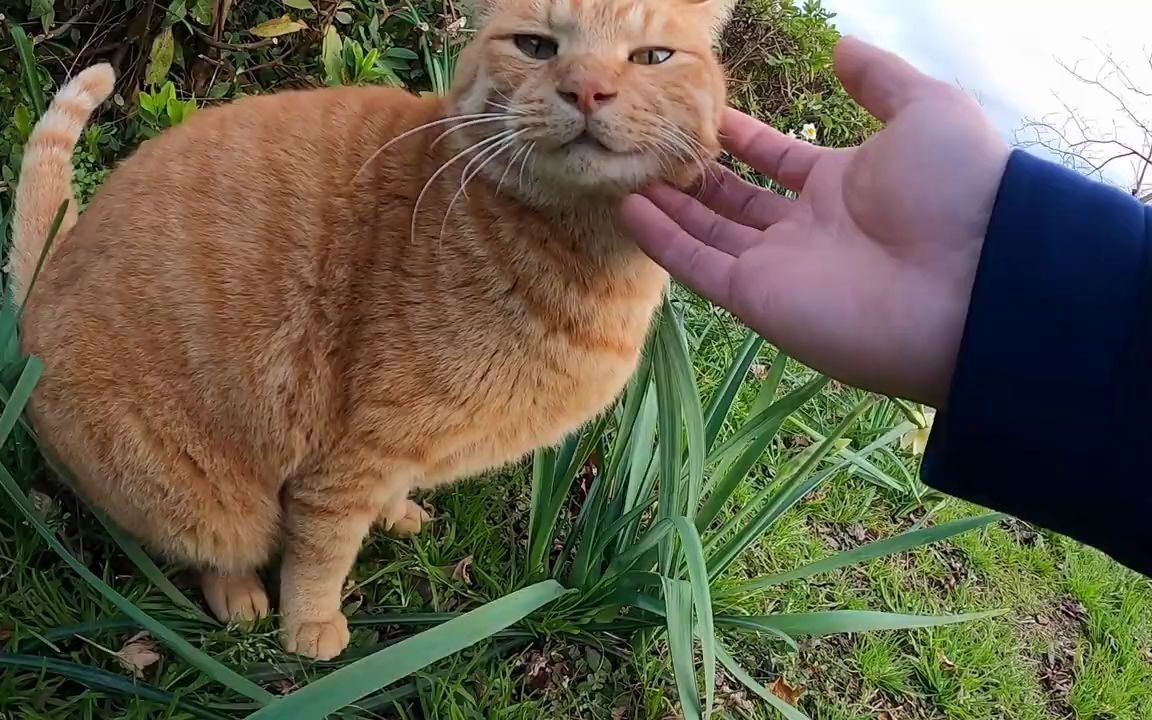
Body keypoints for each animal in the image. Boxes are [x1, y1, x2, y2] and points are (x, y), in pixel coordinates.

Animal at [11, 0, 728, 658]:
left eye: (652, 57)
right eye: (536, 46)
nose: (586, 88)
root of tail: (42, 285)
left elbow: (384, 494)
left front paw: (395, 512)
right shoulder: (354, 452)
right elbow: (321, 549)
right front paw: (308, 629)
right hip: (194, 490)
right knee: (214, 543)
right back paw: (241, 598)